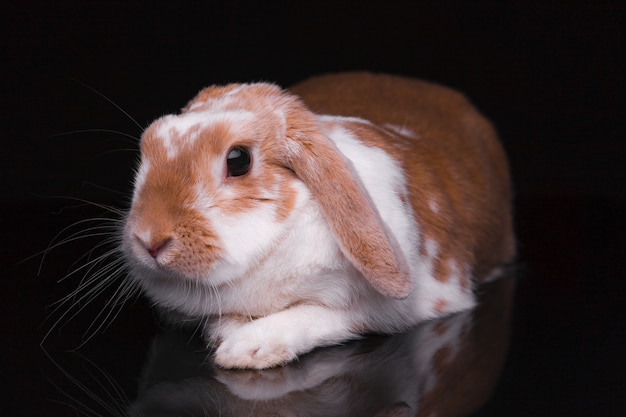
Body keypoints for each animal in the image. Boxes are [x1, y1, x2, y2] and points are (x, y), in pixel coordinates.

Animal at [120, 71, 512, 368]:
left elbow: (322, 314)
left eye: (238, 160)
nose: (149, 239)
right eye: (147, 150)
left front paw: (248, 348)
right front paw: (228, 333)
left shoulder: (399, 308)